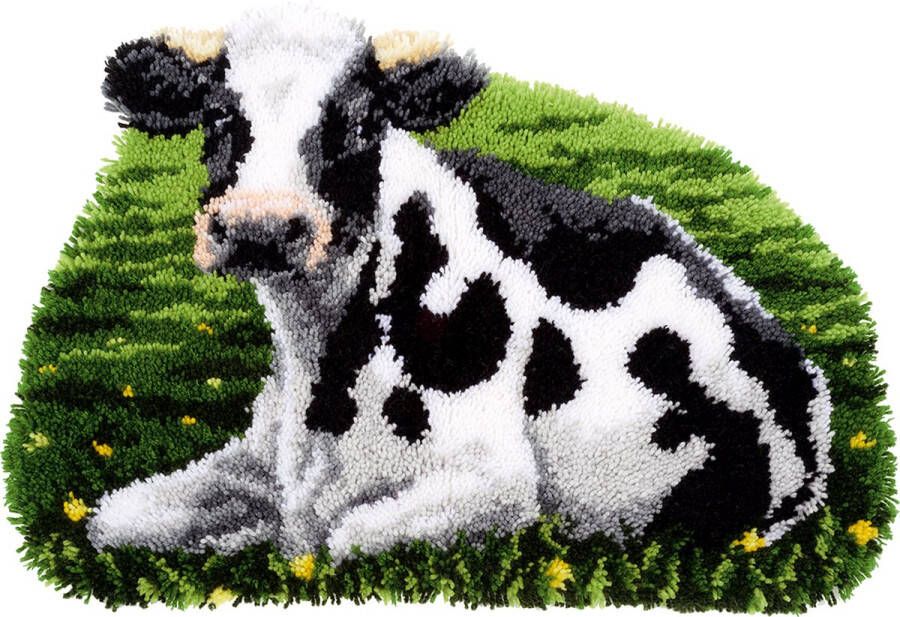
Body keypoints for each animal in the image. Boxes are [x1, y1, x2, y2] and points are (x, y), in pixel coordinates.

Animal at [86, 6, 833, 563]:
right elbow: (115, 516)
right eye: (217, 118)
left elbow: (336, 540)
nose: (260, 226)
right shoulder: (260, 458)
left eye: (361, 123)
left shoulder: (495, 485)